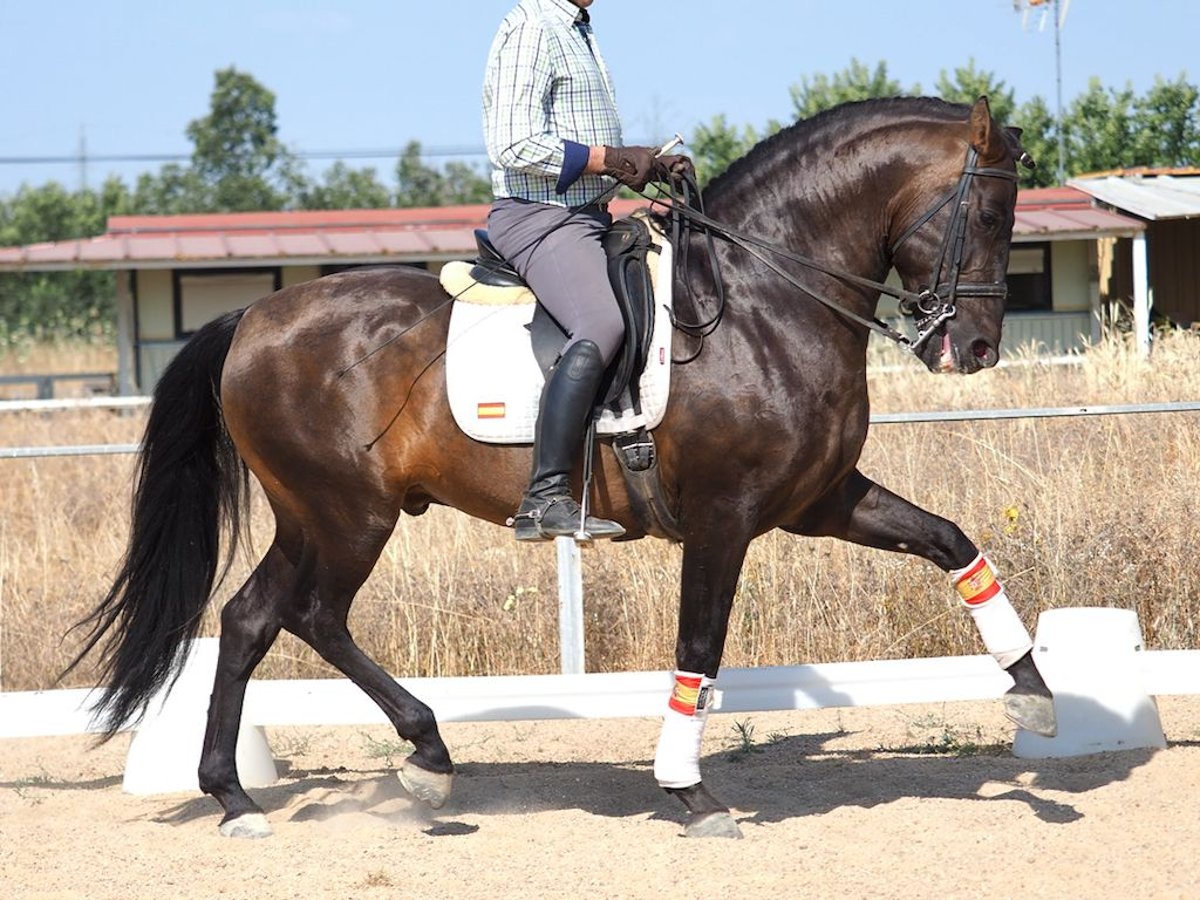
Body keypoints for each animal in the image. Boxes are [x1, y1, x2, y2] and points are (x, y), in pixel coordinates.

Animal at [70, 95, 1056, 844]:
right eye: (993, 215)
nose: (974, 349)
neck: (761, 301)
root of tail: (253, 319)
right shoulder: (726, 517)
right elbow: (698, 650)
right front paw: (689, 793)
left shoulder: (819, 500)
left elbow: (951, 544)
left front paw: (1035, 694)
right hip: (348, 514)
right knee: (307, 613)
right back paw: (415, 759)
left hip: (317, 515)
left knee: (251, 618)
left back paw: (245, 794)